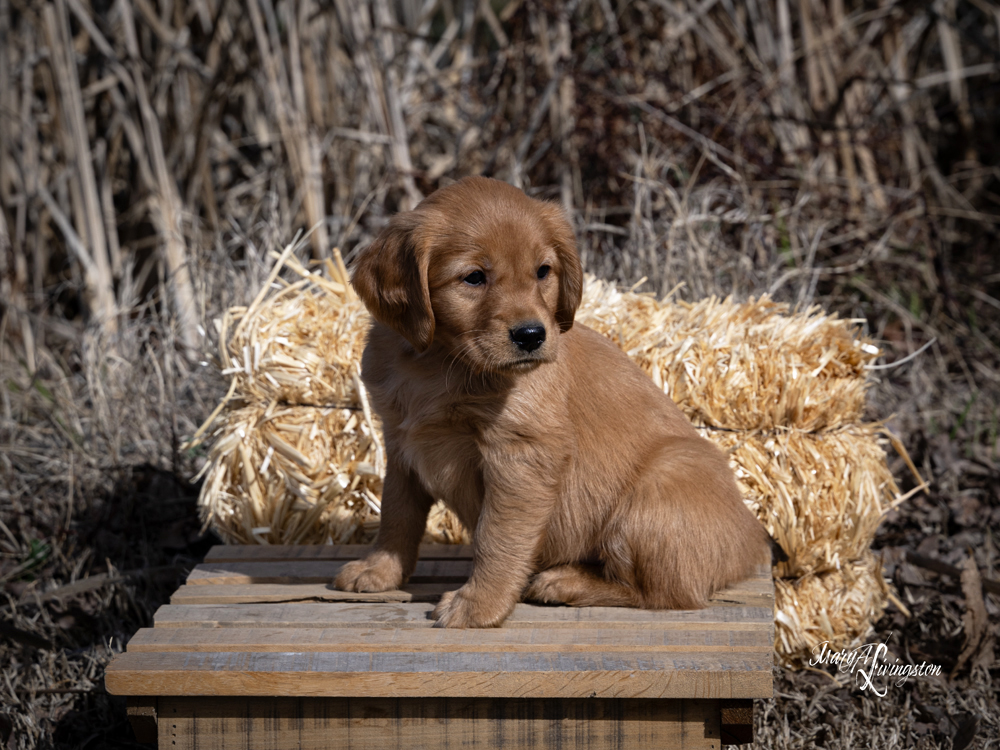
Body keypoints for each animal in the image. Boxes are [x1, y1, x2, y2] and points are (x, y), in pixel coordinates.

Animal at [332, 176, 768, 628]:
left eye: (543, 272)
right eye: (474, 277)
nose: (531, 336)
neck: (438, 362)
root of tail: (752, 545)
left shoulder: (520, 455)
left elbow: (497, 537)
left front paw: (479, 605)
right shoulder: (402, 443)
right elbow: (397, 513)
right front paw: (380, 570)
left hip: (658, 488)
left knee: (666, 592)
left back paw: (564, 581)